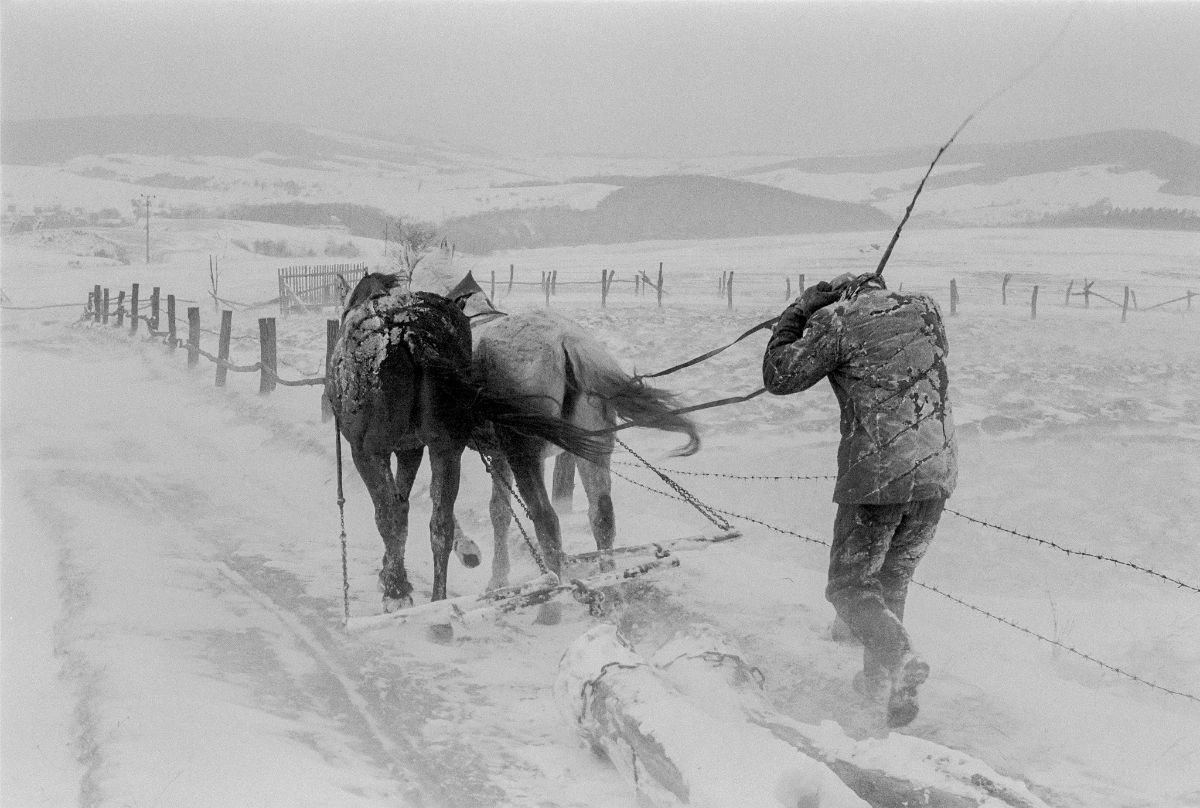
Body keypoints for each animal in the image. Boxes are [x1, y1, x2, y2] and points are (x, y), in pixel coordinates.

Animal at [328, 272, 604, 612]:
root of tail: (408, 330)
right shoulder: (417, 448)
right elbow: (482, 511)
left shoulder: (383, 450)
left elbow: (393, 513)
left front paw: (394, 581)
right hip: (458, 447)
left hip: (375, 449)